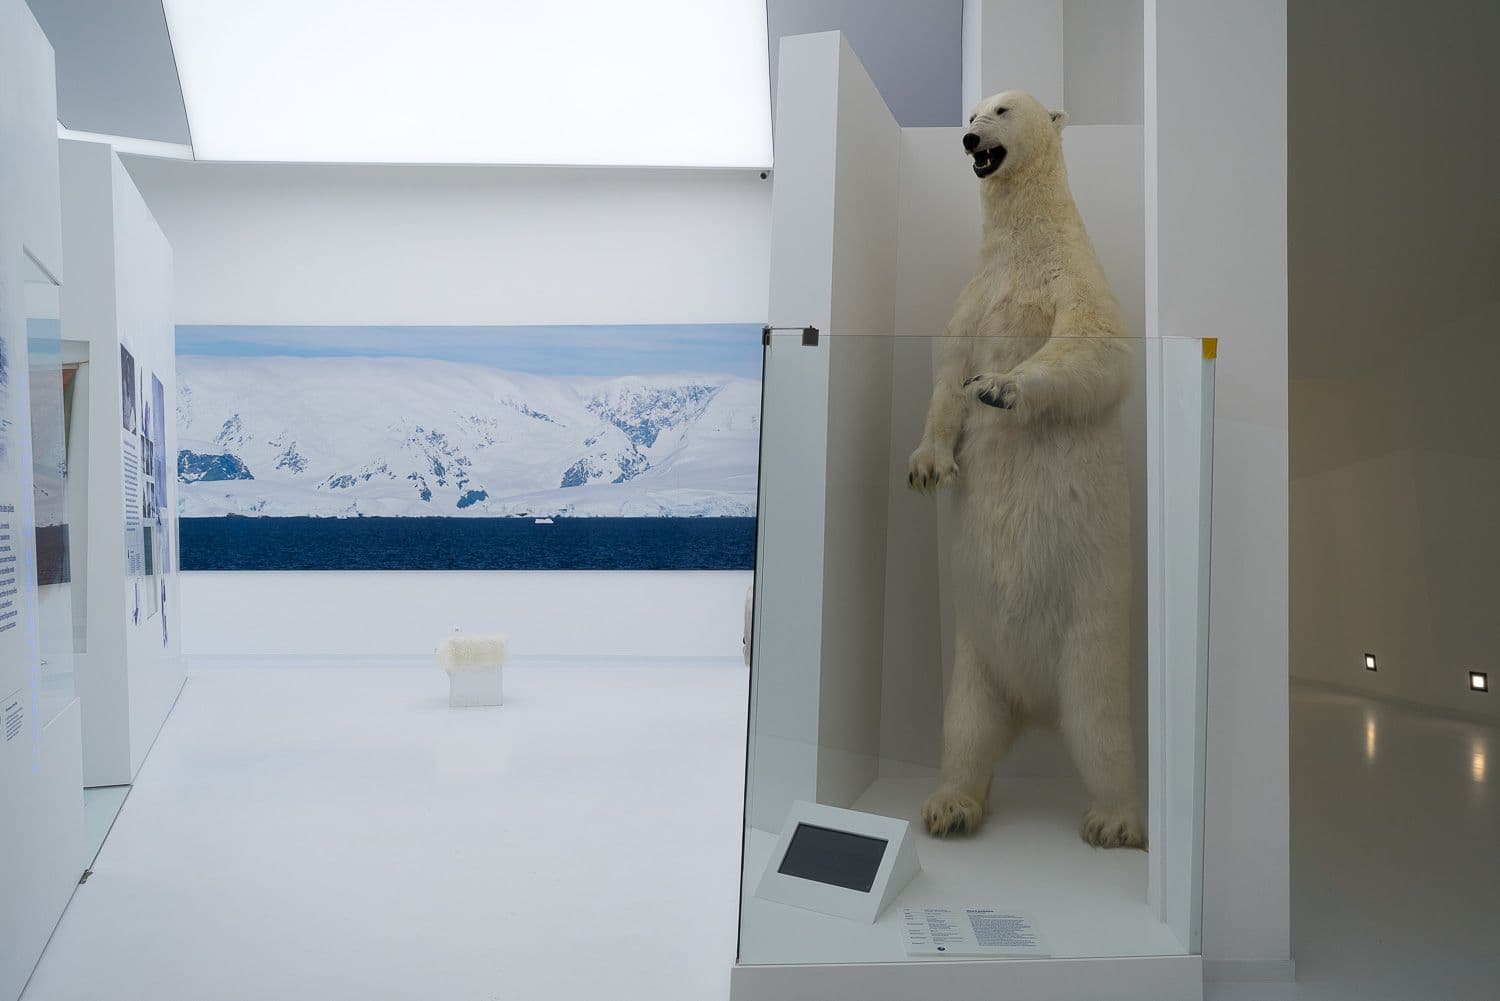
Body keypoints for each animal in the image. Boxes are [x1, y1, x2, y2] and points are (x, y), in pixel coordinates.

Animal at [906, 90, 1140, 852]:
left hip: (1091, 638)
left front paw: (1001, 387)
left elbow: (1095, 348)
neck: (1026, 246)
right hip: (974, 659)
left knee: (1103, 729)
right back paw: (949, 806)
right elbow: (947, 374)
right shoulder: (975, 296)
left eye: (1003, 108)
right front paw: (928, 466)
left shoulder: (1073, 280)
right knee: (966, 732)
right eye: (971, 110)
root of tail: (1036, 706)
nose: (968, 138)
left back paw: (1115, 818)